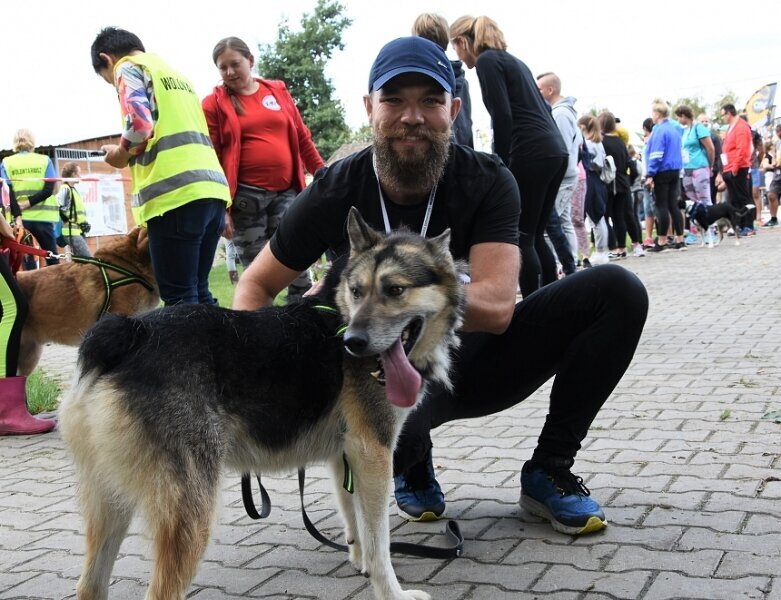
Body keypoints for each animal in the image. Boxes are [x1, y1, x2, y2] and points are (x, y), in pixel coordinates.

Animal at [62, 210, 464, 600]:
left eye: (395, 290)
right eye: (357, 291)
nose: (352, 343)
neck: (340, 314)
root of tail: (130, 332)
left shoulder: (346, 456)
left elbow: (356, 523)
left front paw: (359, 560)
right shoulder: (374, 453)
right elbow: (379, 543)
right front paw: (392, 591)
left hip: (109, 501)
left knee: (90, 585)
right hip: (190, 512)